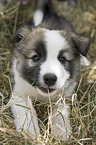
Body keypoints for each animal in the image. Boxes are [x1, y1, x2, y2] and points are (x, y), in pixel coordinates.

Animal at [10, 0, 90, 141]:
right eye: (35, 57)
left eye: (62, 59)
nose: (50, 79)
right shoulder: (19, 94)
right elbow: (26, 111)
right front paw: (30, 132)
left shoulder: (64, 96)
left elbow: (60, 113)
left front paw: (61, 132)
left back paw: (84, 60)